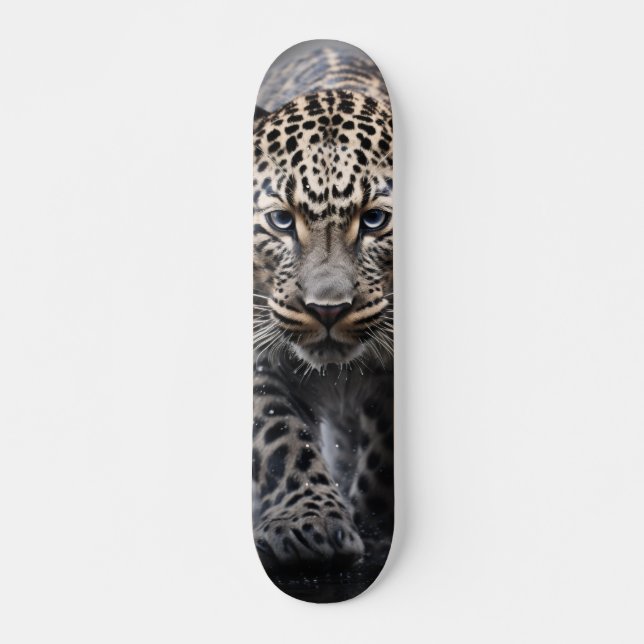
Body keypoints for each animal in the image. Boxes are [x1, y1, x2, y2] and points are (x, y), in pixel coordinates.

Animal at [253, 41, 393, 572]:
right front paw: (307, 524)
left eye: (374, 221)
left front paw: (372, 515)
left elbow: (384, 444)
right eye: (280, 221)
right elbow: (278, 435)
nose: (327, 310)